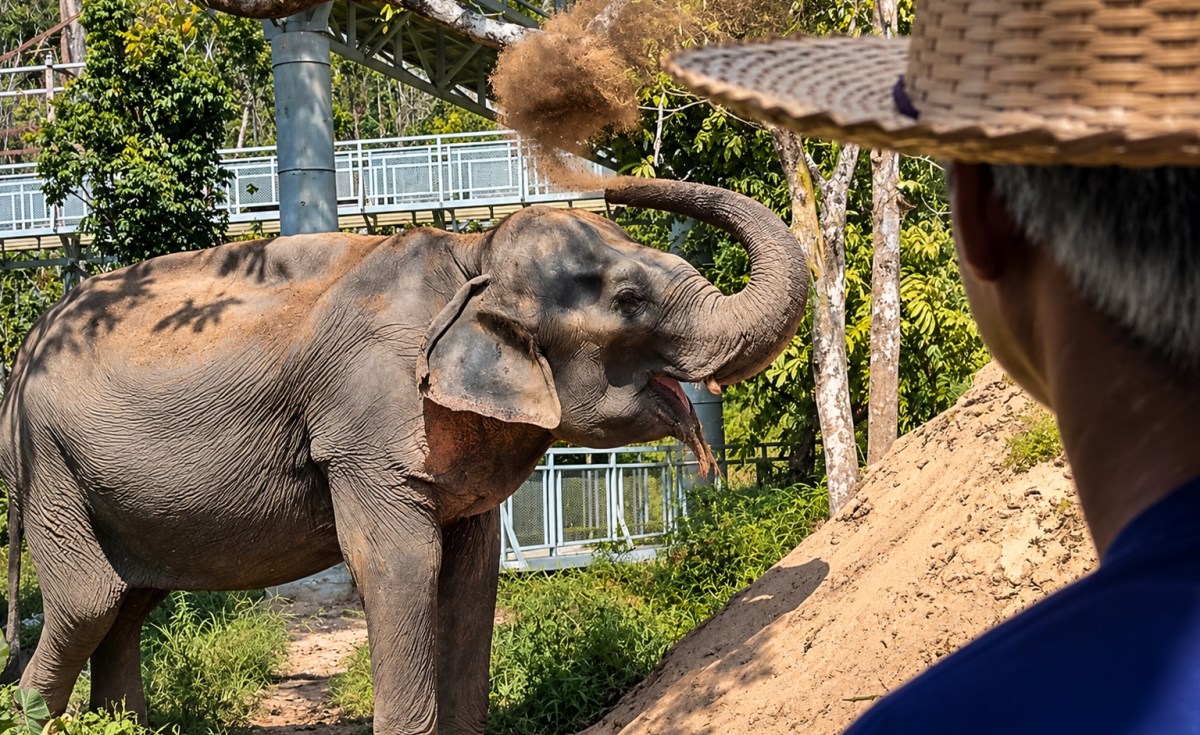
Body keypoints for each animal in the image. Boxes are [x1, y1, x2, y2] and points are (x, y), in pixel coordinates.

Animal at [0, 177, 807, 734]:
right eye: (631, 299)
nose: (611, 179)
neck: (471, 258)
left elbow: (471, 575)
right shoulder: (368, 423)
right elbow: (401, 564)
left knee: (129, 603)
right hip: (49, 465)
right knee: (90, 599)